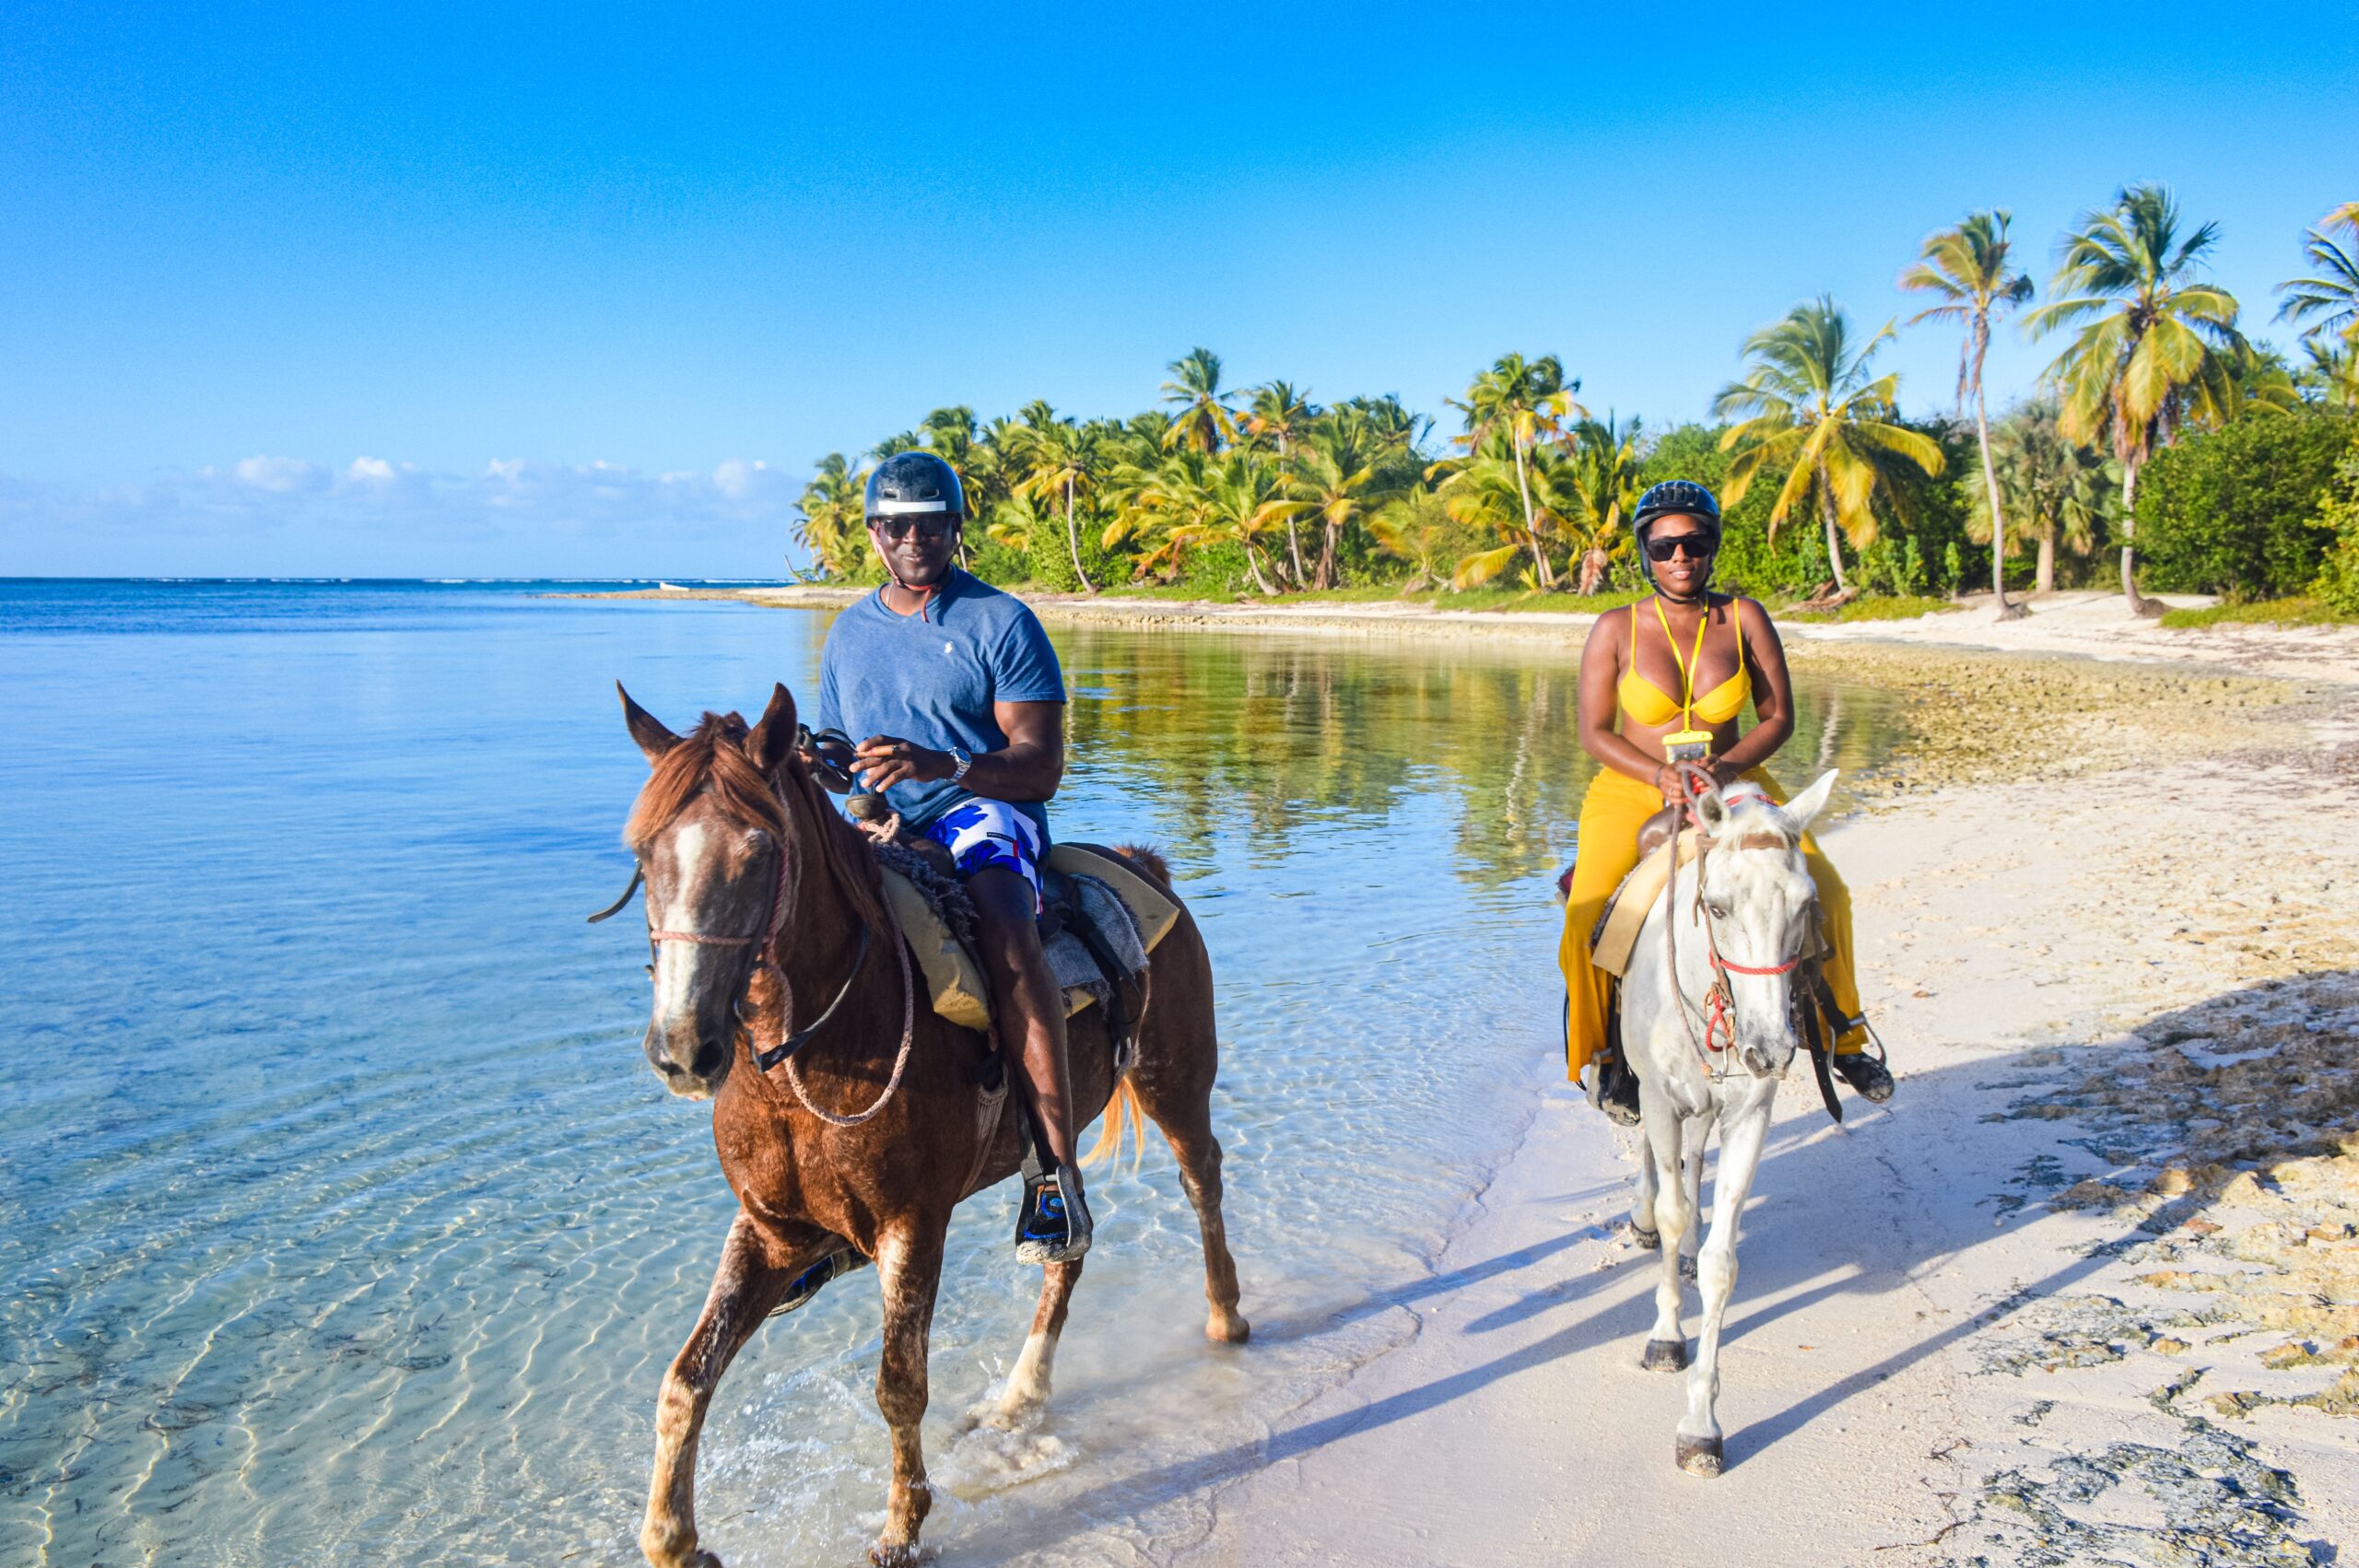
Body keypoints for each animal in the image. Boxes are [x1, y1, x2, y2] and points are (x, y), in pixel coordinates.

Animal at [622, 679, 1254, 1556]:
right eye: (645, 856)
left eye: (758, 852)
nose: (684, 1049)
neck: (815, 1058)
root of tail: (1145, 866)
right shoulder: (771, 1232)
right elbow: (686, 1378)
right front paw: (674, 1540)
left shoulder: (913, 1225)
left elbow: (899, 1386)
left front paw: (901, 1529)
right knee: (1067, 1247)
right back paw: (1021, 1397)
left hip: (1175, 1082)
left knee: (1202, 1183)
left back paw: (1225, 1317)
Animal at [1623, 773, 1839, 1480]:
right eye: (1716, 908)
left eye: (1806, 905)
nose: (1768, 1049)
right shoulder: (1660, 1100)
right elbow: (1670, 1214)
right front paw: (1666, 1339)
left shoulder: (1750, 1115)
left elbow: (1721, 1260)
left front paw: (1701, 1426)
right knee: (1663, 1175)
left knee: (1694, 1171)